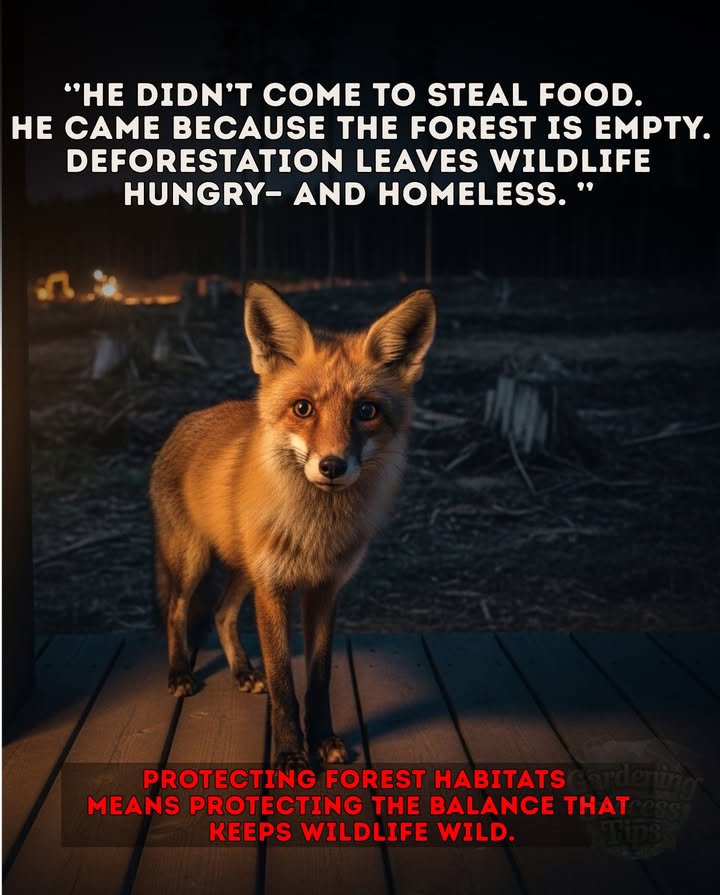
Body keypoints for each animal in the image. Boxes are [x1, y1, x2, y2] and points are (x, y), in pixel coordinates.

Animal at [149, 280, 436, 769]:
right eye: (303, 408)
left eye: (366, 411)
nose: (332, 466)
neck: (316, 532)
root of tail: (188, 419)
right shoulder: (273, 589)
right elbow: (284, 683)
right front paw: (289, 752)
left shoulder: (324, 589)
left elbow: (318, 679)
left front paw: (323, 739)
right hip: (193, 563)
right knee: (176, 611)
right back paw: (180, 673)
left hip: (244, 570)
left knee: (223, 613)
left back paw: (243, 672)